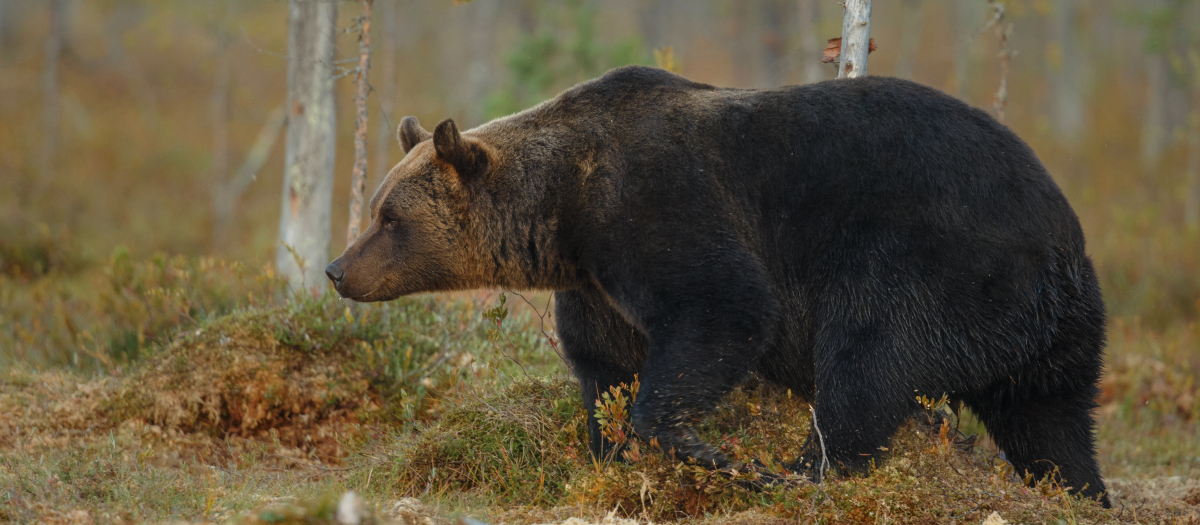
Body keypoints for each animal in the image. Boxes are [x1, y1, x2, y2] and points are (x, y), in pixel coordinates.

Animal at [326, 64, 1104, 503]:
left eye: (389, 217)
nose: (336, 269)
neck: (564, 212)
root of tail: (1060, 238)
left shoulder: (659, 205)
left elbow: (725, 309)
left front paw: (707, 451)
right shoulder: (596, 285)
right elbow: (603, 368)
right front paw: (612, 453)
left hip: (931, 261)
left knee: (866, 363)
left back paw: (800, 471)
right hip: (1050, 328)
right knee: (1051, 420)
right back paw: (1078, 492)